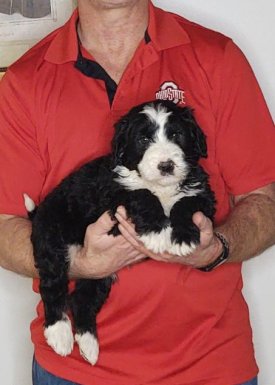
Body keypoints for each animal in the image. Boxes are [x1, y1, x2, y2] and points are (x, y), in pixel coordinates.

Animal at [24, 99, 216, 364]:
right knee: (52, 284)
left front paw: (183, 237)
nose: (166, 166)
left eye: (177, 135)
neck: (160, 187)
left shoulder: (203, 195)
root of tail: (40, 211)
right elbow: (141, 194)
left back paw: (88, 343)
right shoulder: (111, 193)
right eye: (143, 139)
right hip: (51, 237)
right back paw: (59, 334)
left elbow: (185, 202)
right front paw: (157, 232)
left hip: (99, 270)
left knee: (82, 299)